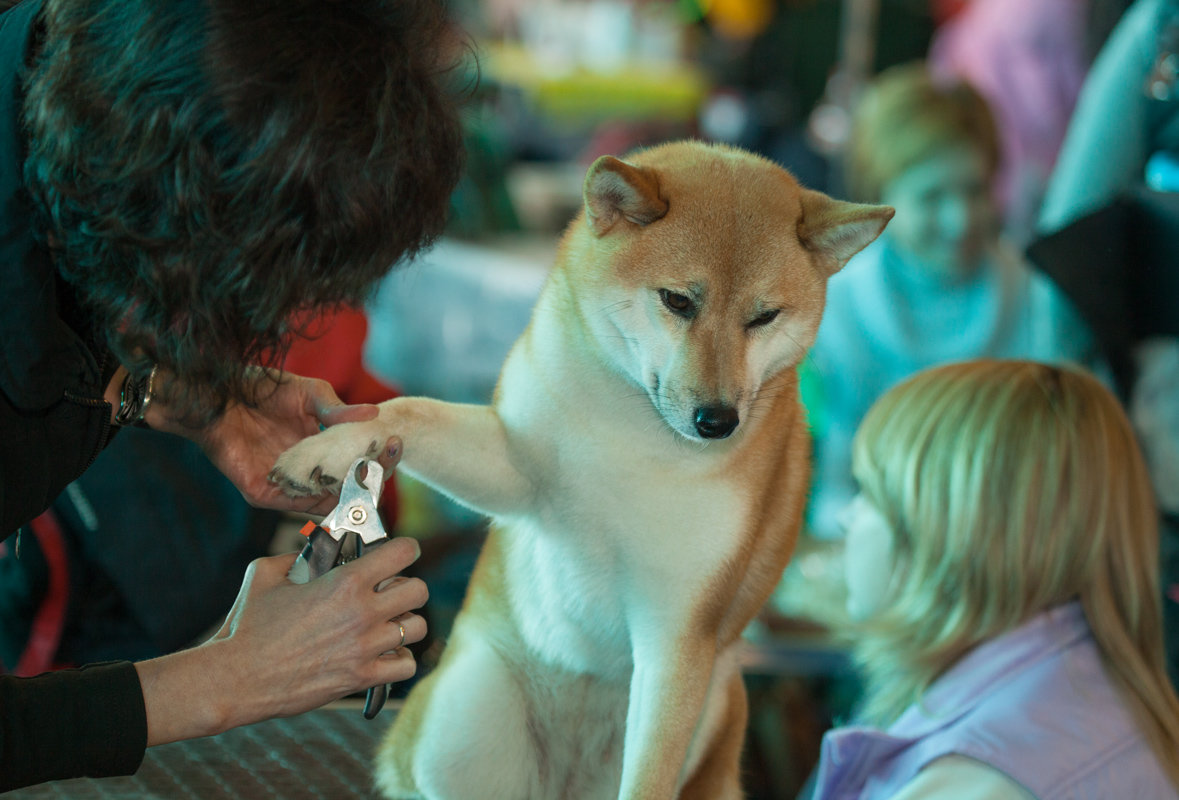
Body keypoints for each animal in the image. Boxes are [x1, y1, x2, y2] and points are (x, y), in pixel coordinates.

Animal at [269, 140, 891, 796]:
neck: (632, 435)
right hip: (461, 724)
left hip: (715, 705)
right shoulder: (517, 471)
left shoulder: (677, 632)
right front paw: (331, 448)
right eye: (678, 301)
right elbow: (411, 409)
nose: (717, 421)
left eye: (764, 316)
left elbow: (648, 780)